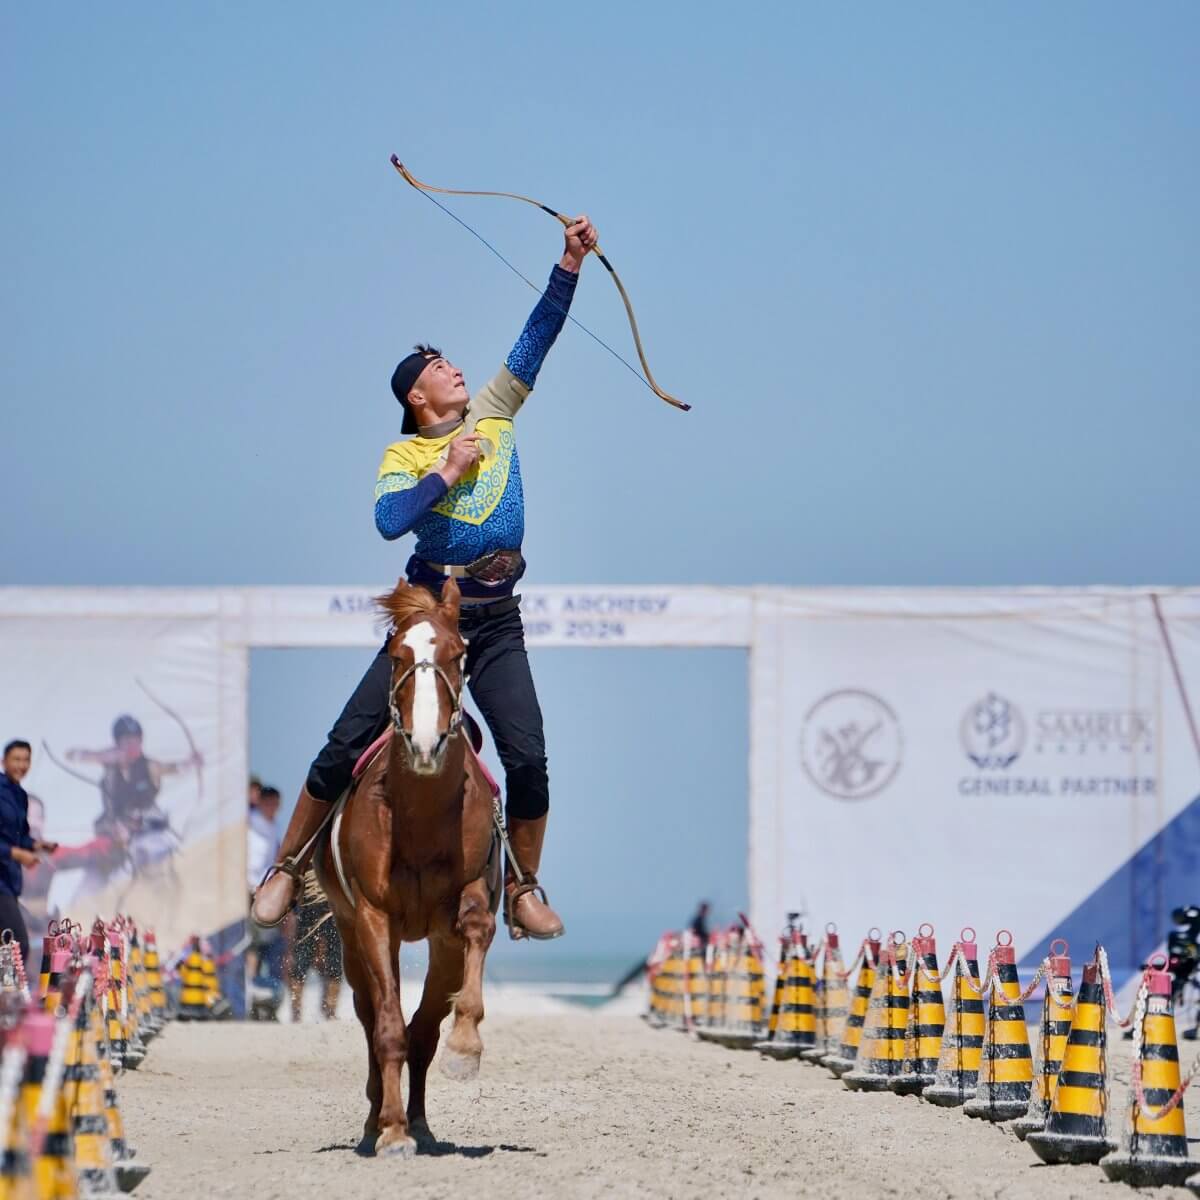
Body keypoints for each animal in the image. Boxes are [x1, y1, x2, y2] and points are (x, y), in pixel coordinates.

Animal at [314, 576, 496, 1156]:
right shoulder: (374, 918)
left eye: (459, 655)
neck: (418, 814)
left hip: (437, 947)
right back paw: (380, 1120)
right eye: (396, 656)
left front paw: (466, 1049)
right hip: (351, 936)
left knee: (422, 1028)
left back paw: (419, 1120)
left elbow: (477, 929)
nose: (425, 743)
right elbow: (386, 1029)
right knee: (373, 1017)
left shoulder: (460, 912)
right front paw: (391, 1132)